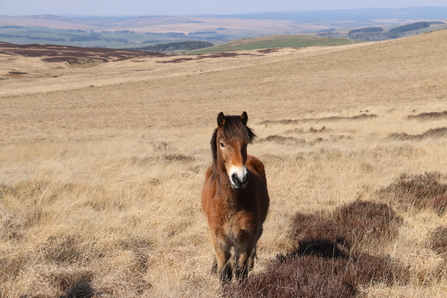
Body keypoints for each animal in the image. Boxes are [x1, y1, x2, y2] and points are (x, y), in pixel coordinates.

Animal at [202, 111, 270, 282]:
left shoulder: (246, 239)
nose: (240, 179)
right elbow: (225, 274)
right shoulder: (219, 240)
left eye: (245, 143)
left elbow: (240, 273)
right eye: (222, 144)